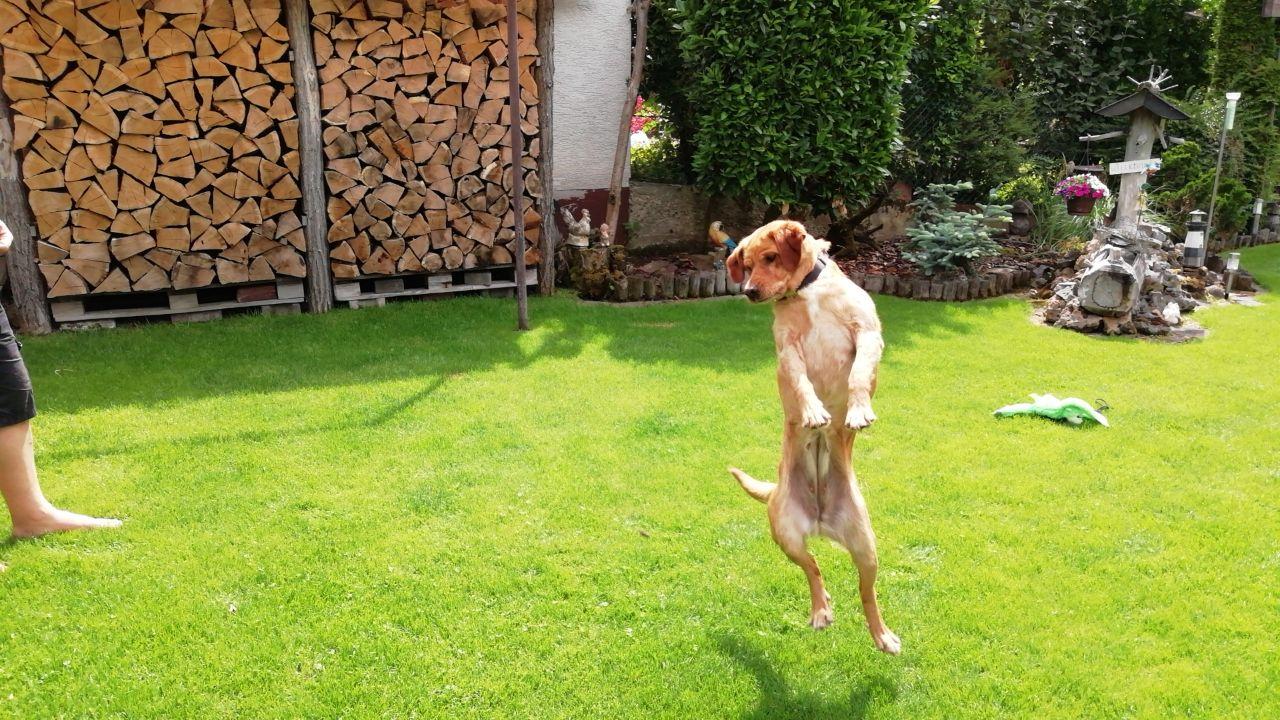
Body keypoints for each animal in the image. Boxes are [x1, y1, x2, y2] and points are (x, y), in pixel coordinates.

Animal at [732, 217, 901, 650]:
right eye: (746, 263)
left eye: (770, 258)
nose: (748, 292)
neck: (809, 295)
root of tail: (821, 520)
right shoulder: (787, 350)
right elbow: (802, 383)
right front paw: (812, 412)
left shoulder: (867, 334)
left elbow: (858, 376)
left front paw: (857, 411)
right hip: (788, 536)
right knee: (814, 569)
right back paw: (821, 610)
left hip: (866, 547)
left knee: (867, 593)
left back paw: (882, 636)